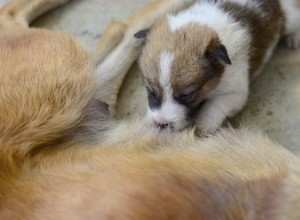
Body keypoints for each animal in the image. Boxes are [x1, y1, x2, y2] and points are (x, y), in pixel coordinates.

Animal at [135, 0, 300, 133]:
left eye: (187, 95)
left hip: (289, 18)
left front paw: (203, 126)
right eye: (150, 90)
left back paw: (294, 37)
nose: (161, 123)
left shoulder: (236, 92)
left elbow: (215, 106)